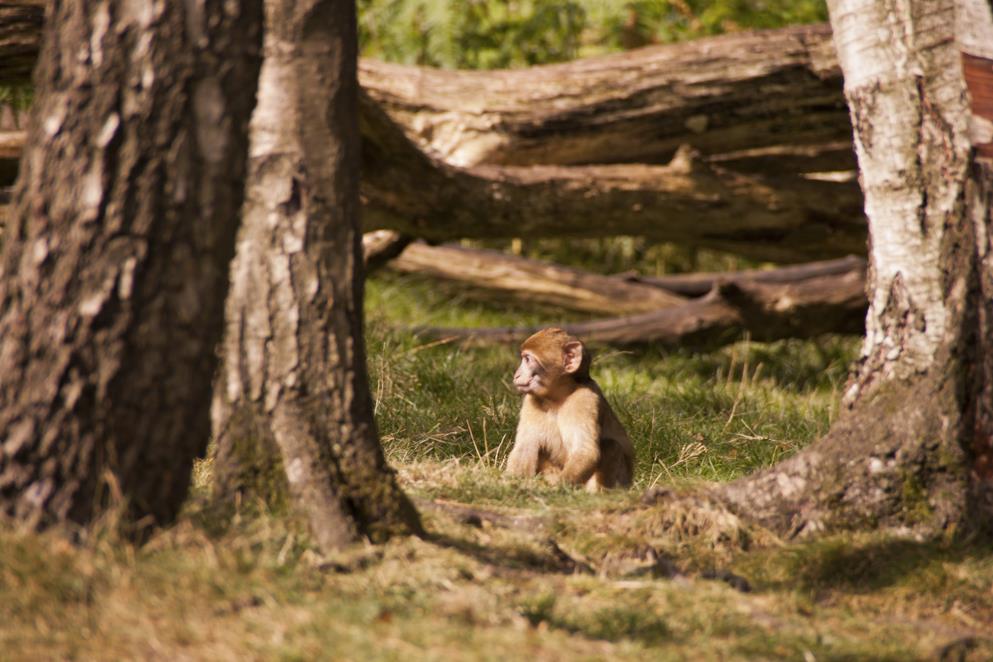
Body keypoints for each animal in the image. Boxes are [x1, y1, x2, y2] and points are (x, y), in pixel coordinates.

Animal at [505, 328, 634, 491]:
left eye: (527, 359)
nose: (516, 375)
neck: (557, 398)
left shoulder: (584, 399)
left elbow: (586, 451)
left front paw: (556, 489)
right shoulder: (531, 400)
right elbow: (525, 447)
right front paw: (509, 483)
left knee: (611, 445)